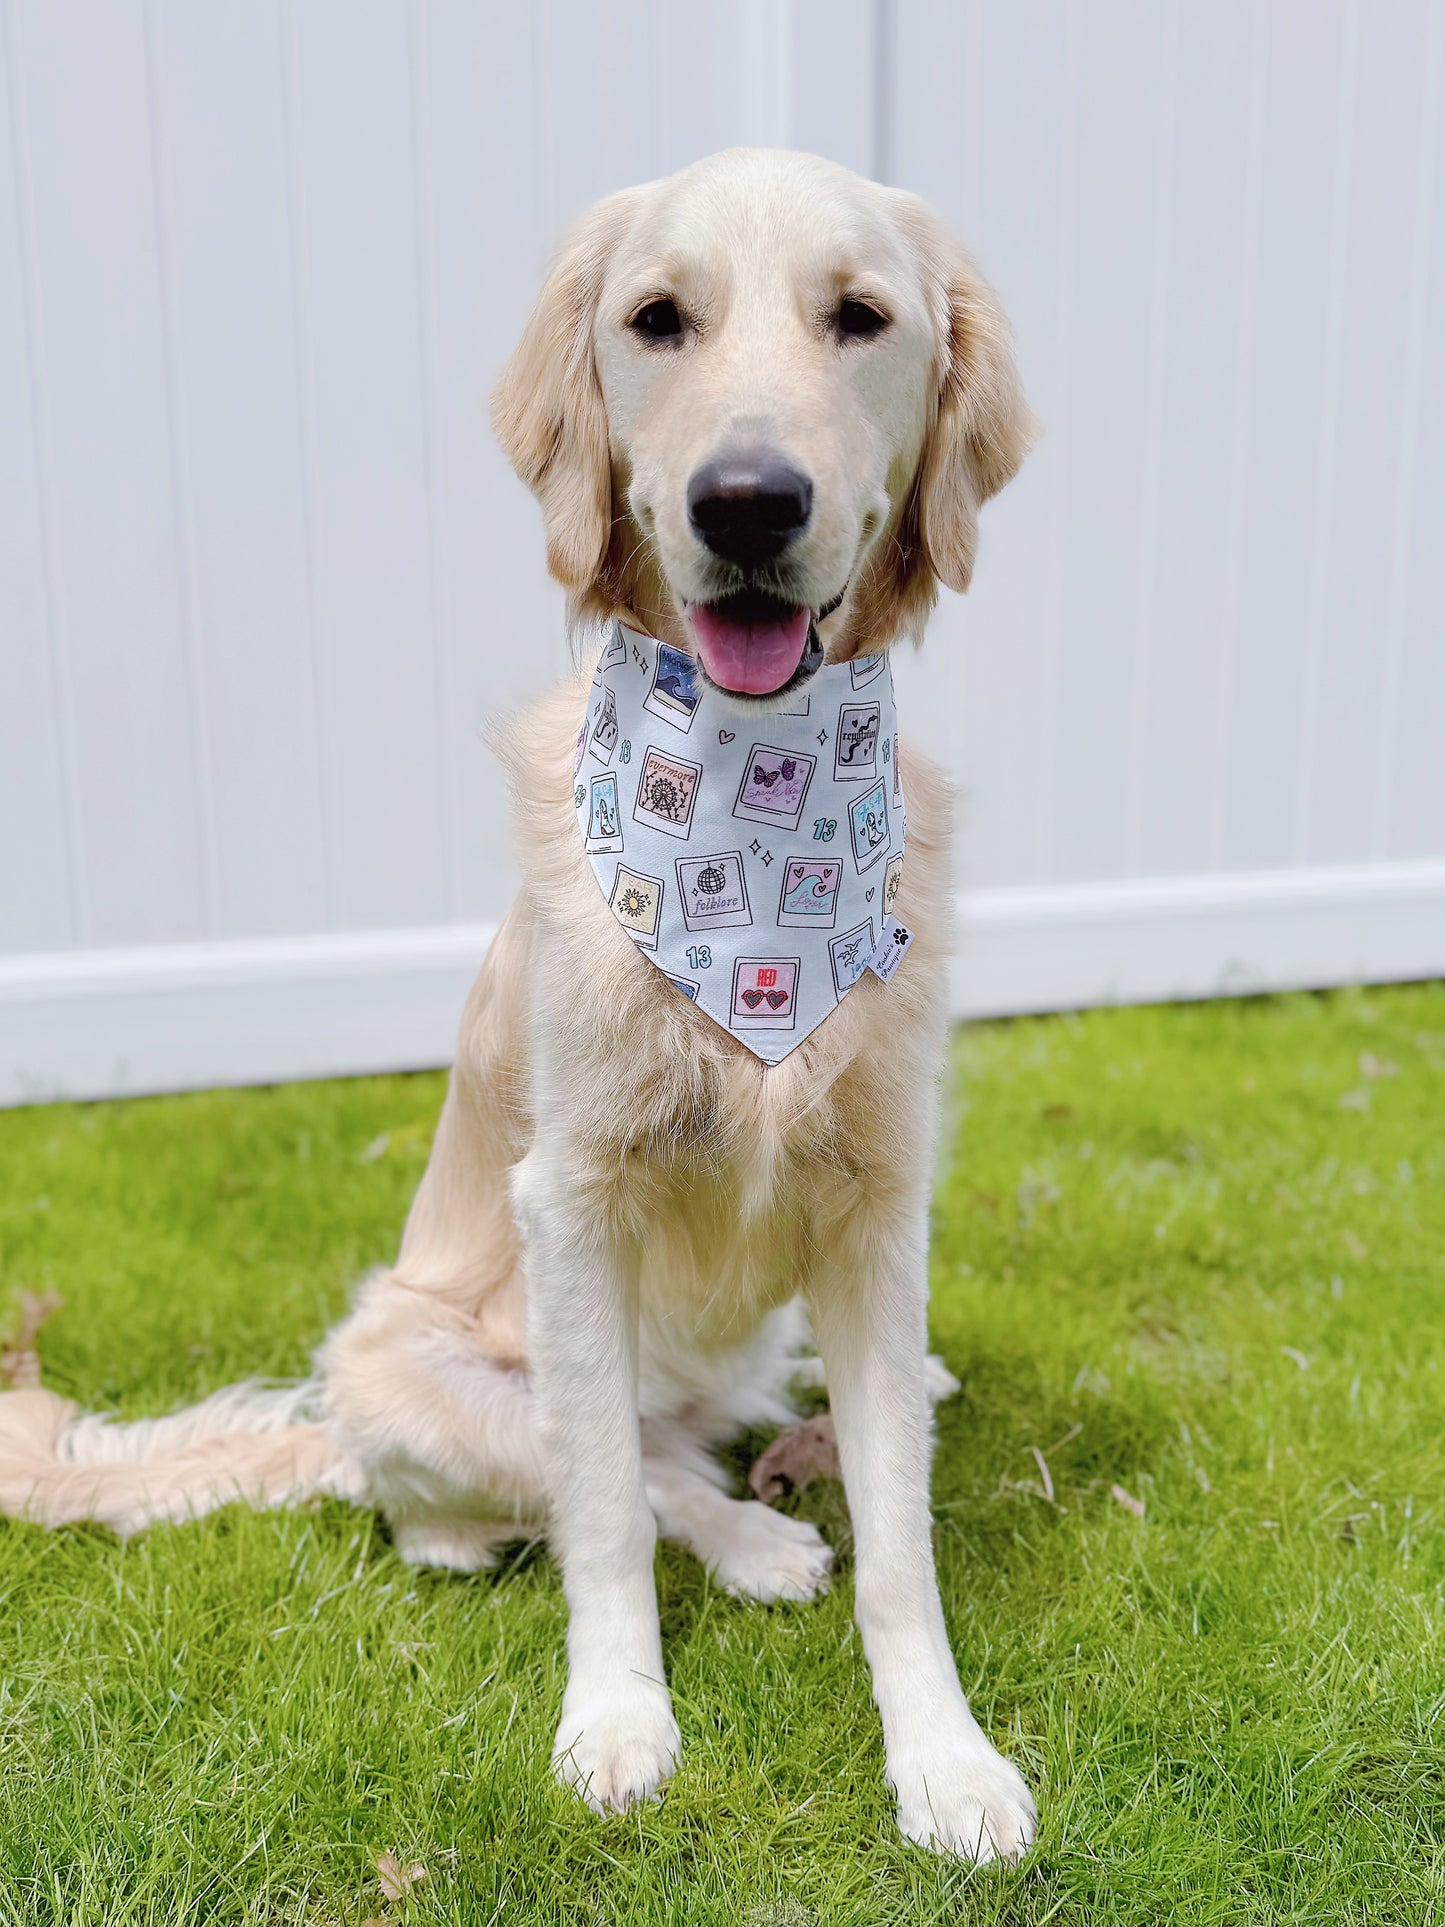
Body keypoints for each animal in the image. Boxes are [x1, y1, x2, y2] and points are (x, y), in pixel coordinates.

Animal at [0, 150, 1040, 1865]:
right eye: (658, 319)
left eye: (860, 316)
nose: (745, 502)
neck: (755, 843)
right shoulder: (573, 1204)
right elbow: (606, 1503)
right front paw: (618, 1718)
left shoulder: (878, 1204)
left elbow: (902, 1538)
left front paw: (945, 1761)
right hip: (403, 1361)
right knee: (599, 1472)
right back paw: (747, 1536)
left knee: (730, 1418)